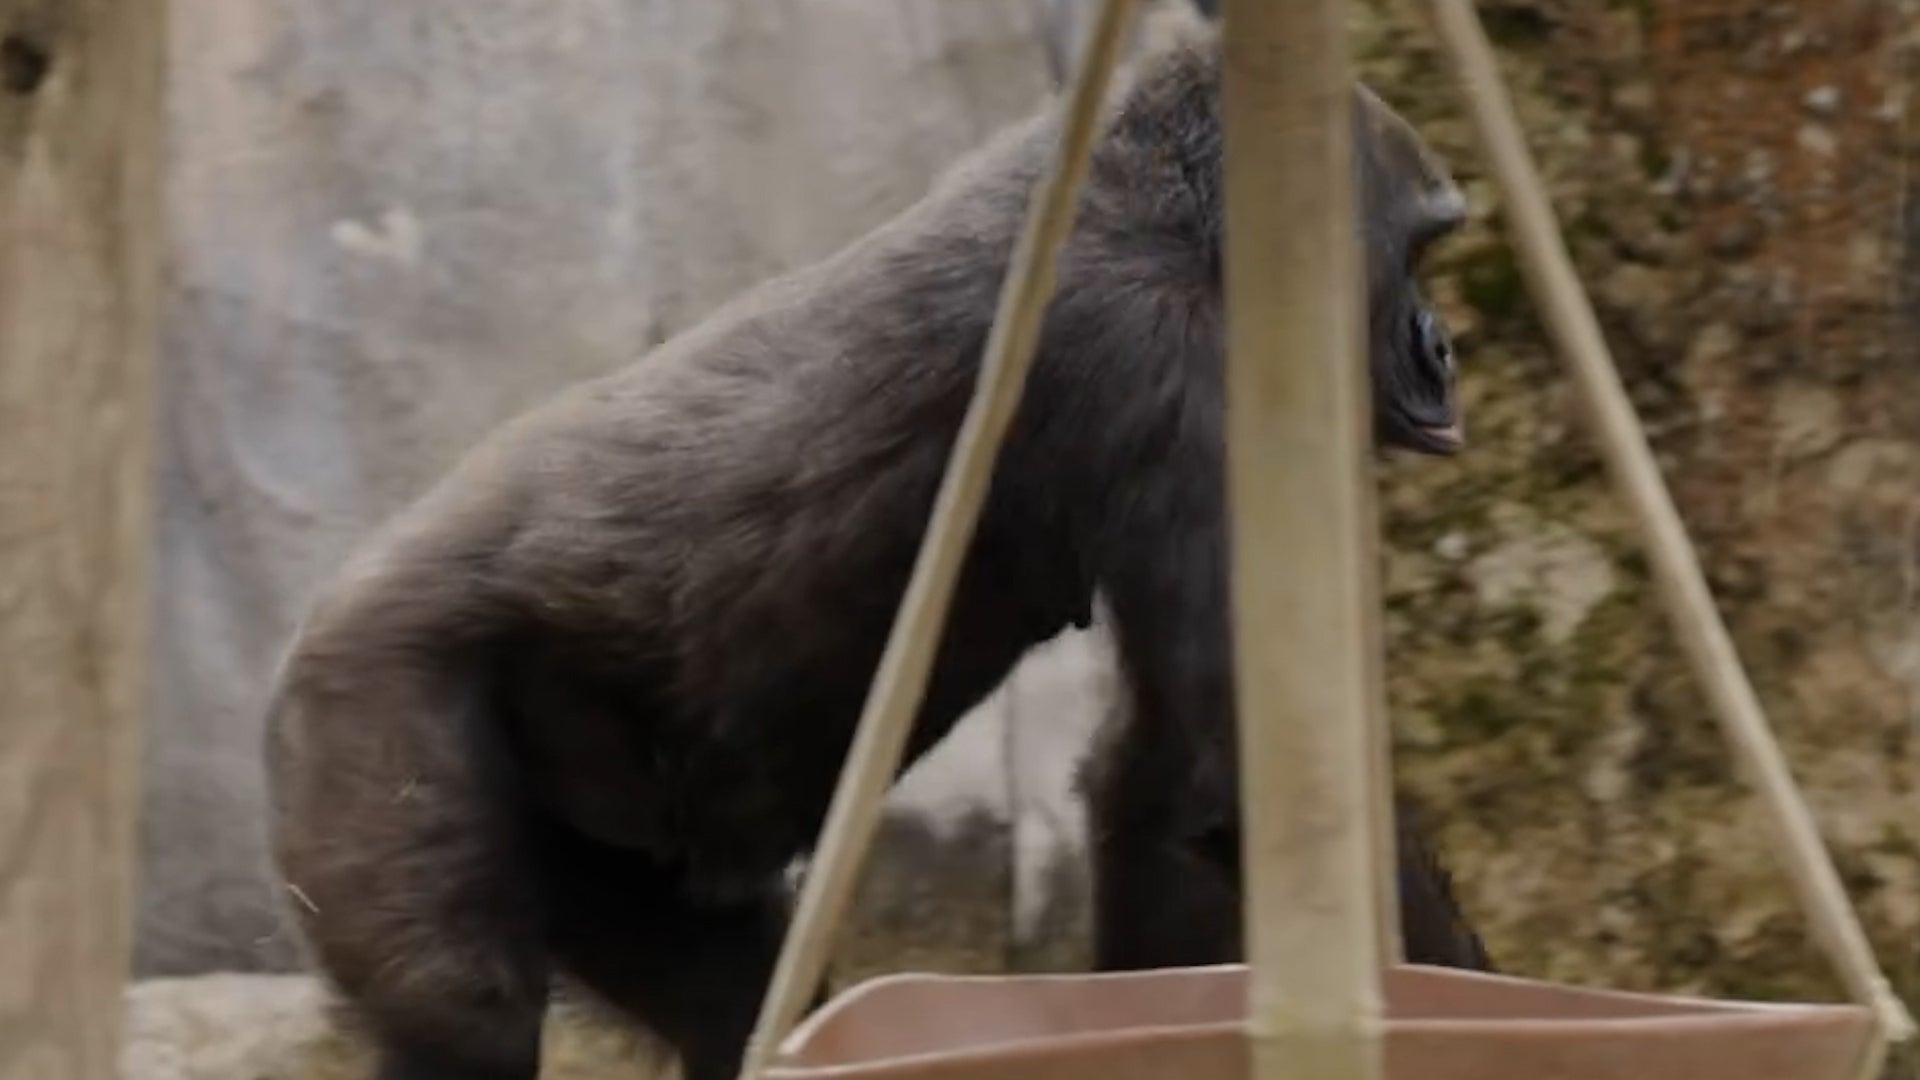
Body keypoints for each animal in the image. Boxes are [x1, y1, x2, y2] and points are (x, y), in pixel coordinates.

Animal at [262, 8, 1474, 1080]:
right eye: (1417, 251)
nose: (1444, 350)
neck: (1163, 207)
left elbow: (1169, 776)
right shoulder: (1155, 349)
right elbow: (1230, 758)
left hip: (604, 834)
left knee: (730, 994)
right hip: (368, 708)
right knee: (467, 1015)